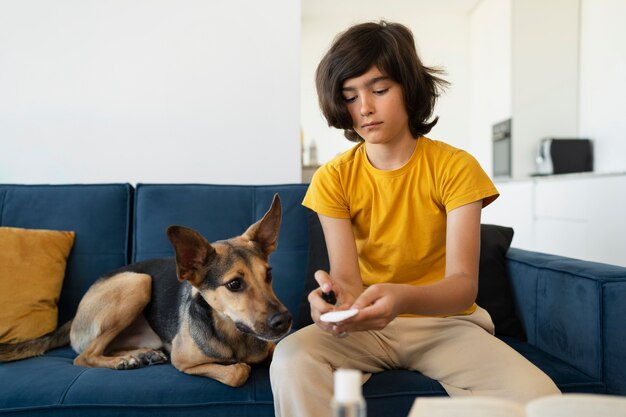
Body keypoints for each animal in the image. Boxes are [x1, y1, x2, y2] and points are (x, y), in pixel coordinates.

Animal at [0, 193, 292, 386]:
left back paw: (140, 355)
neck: (233, 332)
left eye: (268, 275)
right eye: (234, 284)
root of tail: (76, 315)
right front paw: (240, 367)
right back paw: (122, 361)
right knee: (84, 356)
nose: (285, 321)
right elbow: (238, 372)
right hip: (138, 283)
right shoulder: (182, 361)